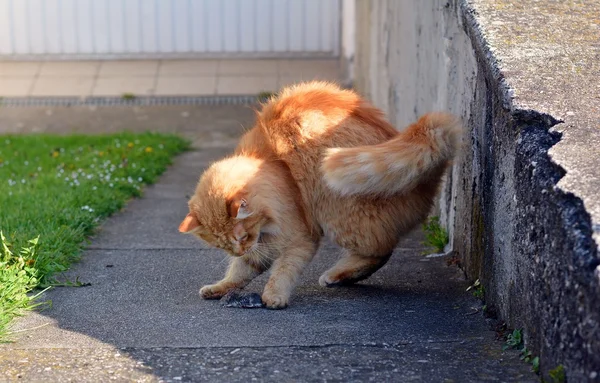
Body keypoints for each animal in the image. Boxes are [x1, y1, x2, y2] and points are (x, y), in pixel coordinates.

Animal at [177, 81, 460, 308]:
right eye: (221, 245)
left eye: (241, 236)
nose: (237, 250)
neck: (273, 165)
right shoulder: (260, 249)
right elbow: (239, 272)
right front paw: (220, 287)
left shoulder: (300, 239)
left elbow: (283, 271)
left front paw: (275, 296)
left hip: (337, 214)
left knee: (380, 249)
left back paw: (337, 275)